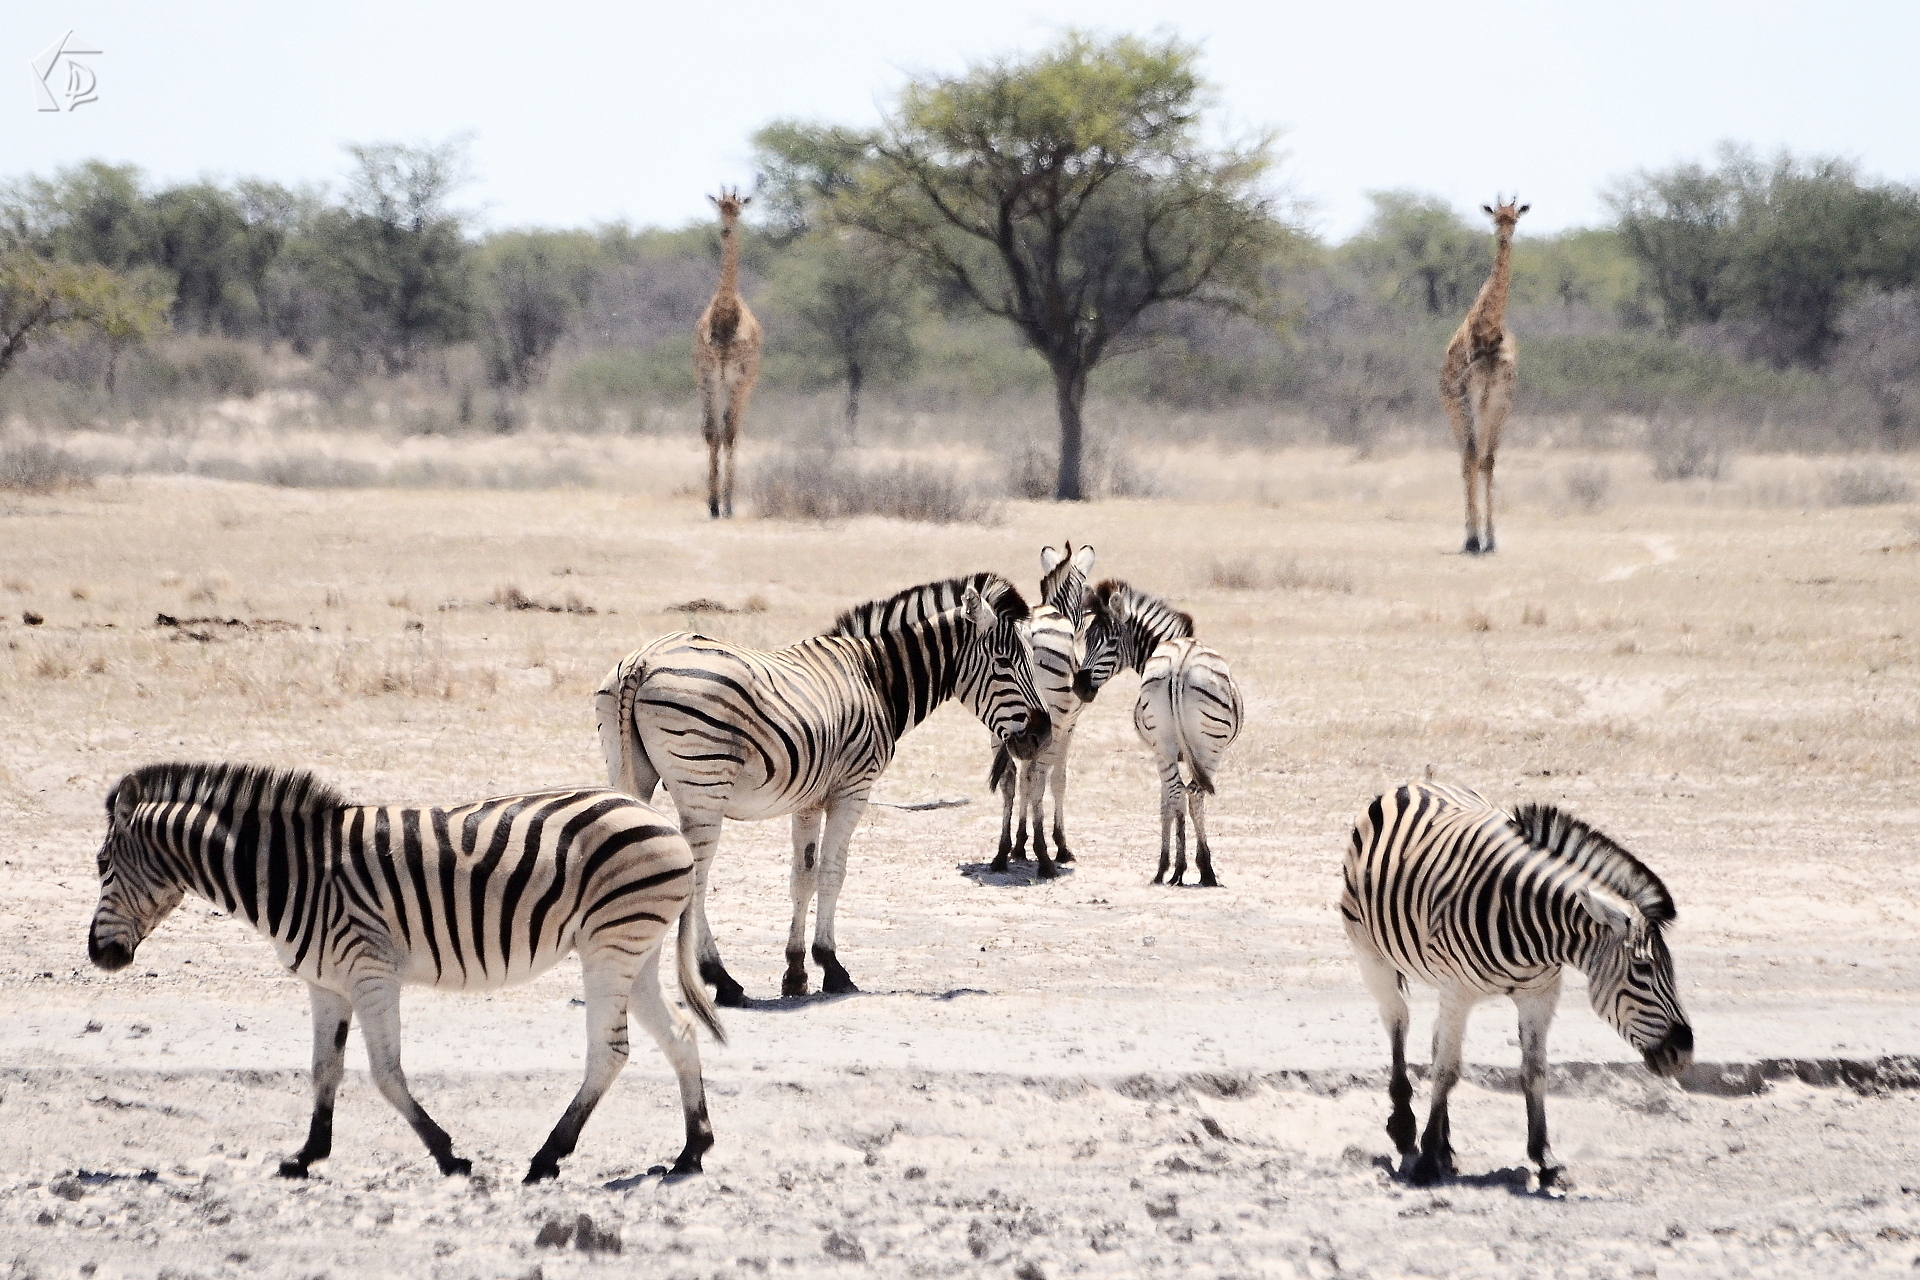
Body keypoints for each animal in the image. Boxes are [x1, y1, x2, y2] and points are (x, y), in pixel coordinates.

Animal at [86, 761, 724, 1184]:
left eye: (101, 864)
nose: (98, 955)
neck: (293, 873)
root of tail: (659, 819)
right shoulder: (325, 982)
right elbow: (324, 1068)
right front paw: (306, 1155)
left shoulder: (370, 972)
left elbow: (385, 1073)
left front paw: (448, 1154)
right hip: (633, 948)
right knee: (679, 1034)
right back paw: (691, 1151)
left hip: (610, 943)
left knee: (609, 1050)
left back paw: (548, 1157)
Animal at [596, 574, 1050, 1006]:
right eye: (1005, 662)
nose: (1043, 735)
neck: (875, 678)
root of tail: (643, 660)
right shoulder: (853, 789)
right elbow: (833, 873)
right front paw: (831, 966)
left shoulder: (809, 799)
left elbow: (803, 876)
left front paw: (795, 972)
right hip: (704, 788)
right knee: (695, 877)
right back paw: (720, 978)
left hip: (631, 774)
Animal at [988, 542, 1097, 880]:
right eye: (1087, 590)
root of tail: (1028, 630)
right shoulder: (1067, 727)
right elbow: (1057, 780)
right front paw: (1058, 845)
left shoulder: (1027, 729)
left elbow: (1023, 780)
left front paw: (1018, 845)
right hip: (1052, 720)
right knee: (1038, 777)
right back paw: (1046, 856)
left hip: (998, 720)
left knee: (1010, 780)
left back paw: (1001, 854)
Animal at [1075, 580, 1244, 887]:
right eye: (1088, 639)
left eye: (1110, 642)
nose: (1079, 687)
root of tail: (1179, 665)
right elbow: (1177, 801)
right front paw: (1183, 865)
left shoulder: (1160, 751)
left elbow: (1165, 802)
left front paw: (1163, 866)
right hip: (1209, 749)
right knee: (1194, 795)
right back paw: (1203, 869)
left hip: (1165, 745)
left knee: (1179, 793)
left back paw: (1176, 868)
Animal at [1340, 780, 1694, 1189]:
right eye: (1642, 967)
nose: (1684, 1051)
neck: (1533, 927)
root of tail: (1416, 783)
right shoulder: (1457, 991)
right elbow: (1447, 1071)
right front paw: (1426, 1161)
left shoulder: (1539, 995)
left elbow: (1534, 1071)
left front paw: (1544, 1158)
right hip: (1370, 953)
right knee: (1397, 1020)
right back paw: (1405, 1129)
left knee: (1433, 1037)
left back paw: (1445, 1146)